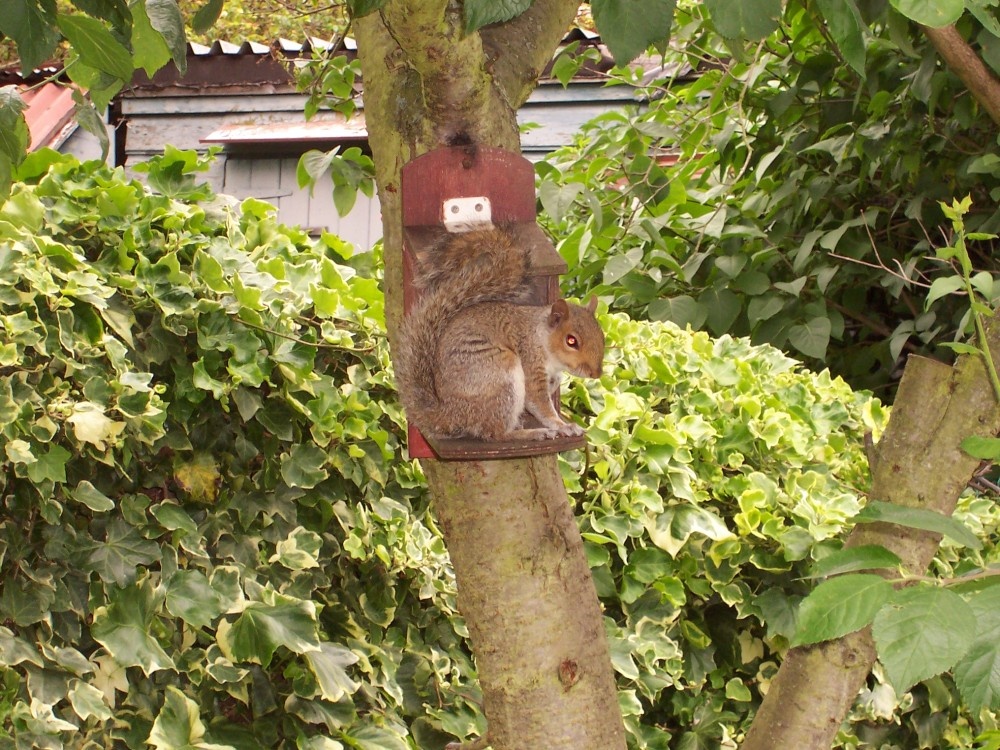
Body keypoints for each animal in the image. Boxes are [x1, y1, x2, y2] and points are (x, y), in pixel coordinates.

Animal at [394, 227, 605, 442]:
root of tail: (450, 415)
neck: (541, 338)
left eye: (602, 336)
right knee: (495, 433)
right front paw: (563, 426)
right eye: (571, 341)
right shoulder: (531, 361)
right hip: (500, 376)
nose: (596, 373)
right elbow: (539, 403)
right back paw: (531, 433)